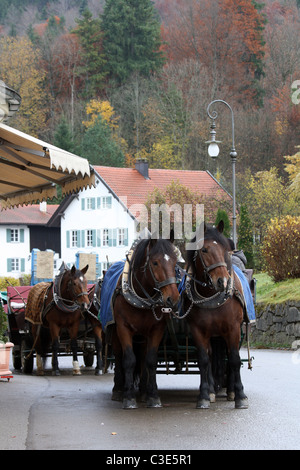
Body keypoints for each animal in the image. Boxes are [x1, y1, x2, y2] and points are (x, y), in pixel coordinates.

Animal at [110, 235, 179, 408]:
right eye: (155, 263)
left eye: (175, 262)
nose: (173, 298)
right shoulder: (123, 328)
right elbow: (128, 359)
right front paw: (128, 397)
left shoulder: (156, 329)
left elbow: (150, 360)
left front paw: (152, 395)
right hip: (114, 332)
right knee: (119, 355)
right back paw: (118, 389)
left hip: (142, 336)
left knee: (142, 356)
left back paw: (142, 390)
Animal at [185, 220, 248, 408]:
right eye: (204, 250)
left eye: (226, 249)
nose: (222, 281)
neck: (210, 296)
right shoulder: (197, 330)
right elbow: (204, 360)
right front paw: (204, 395)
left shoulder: (233, 328)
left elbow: (234, 359)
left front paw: (240, 395)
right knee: (212, 357)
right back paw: (212, 390)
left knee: (229, 356)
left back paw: (232, 391)